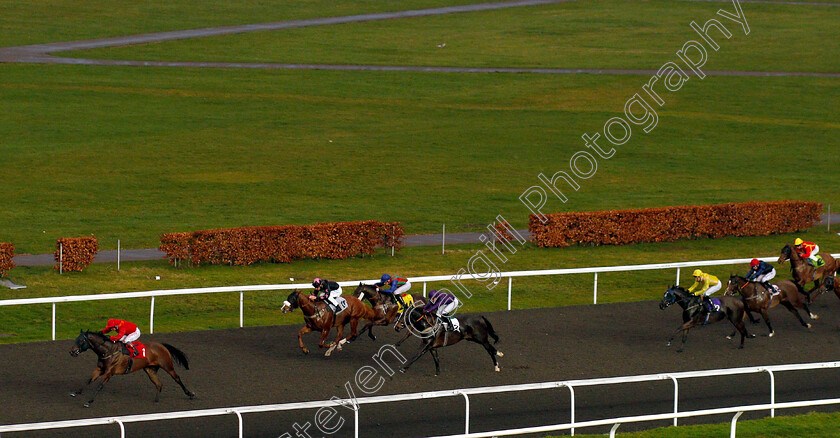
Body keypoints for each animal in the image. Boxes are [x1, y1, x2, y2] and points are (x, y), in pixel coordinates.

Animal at [68, 332, 196, 408]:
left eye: (81, 341)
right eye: (76, 339)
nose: (72, 351)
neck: (109, 351)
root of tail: (161, 345)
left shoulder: (109, 372)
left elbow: (99, 386)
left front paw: (89, 401)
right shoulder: (99, 369)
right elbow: (89, 380)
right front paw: (76, 392)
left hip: (168, 366)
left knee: (177, 378)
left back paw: (190, 394)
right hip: (150, 370)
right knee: (159, 384)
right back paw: (156, 400)